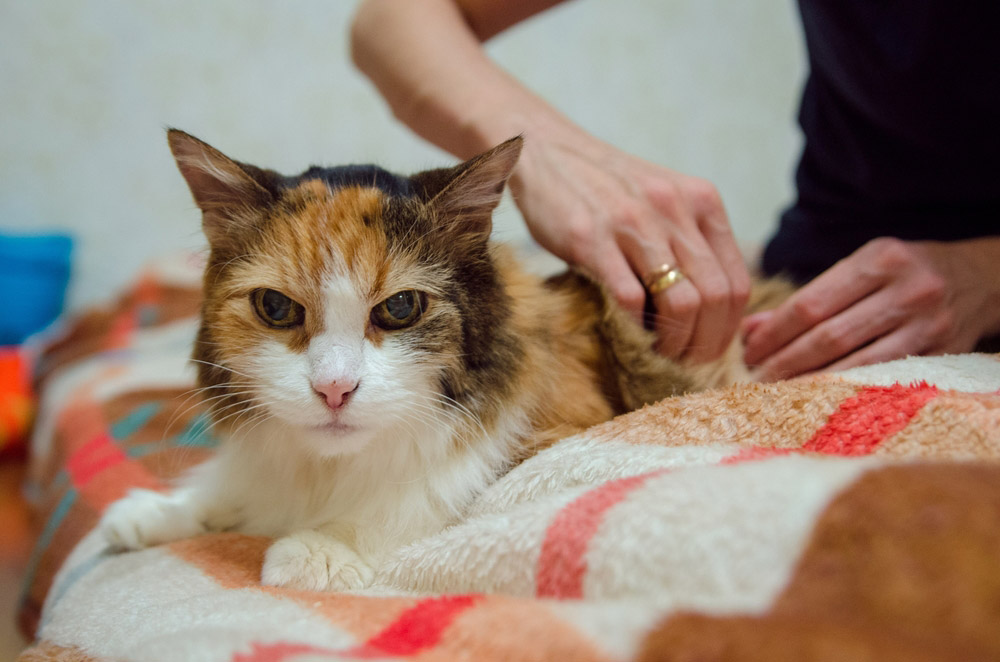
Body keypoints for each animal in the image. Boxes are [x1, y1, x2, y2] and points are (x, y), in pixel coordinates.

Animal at [97, 130, 760, 592]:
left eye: (400, 308)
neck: (330, 470)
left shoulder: (554, 437)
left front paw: (322, 548)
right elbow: (239, 490)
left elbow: (427, 495)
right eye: (276, 308)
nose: (334, 390)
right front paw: (162, 512)